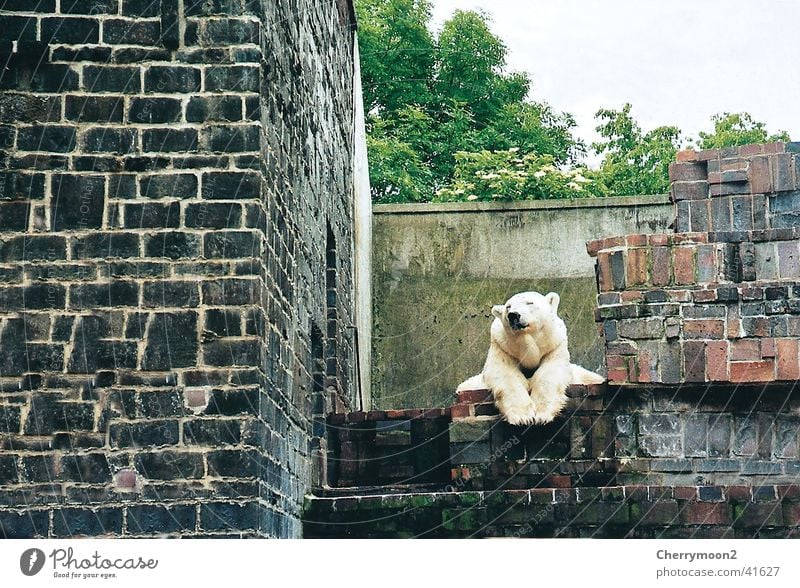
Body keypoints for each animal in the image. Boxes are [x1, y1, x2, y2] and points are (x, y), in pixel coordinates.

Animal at [460, 290, 604, 424]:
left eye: (530, 302)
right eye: (508, 307)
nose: (513, 315)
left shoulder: (554, 346)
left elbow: (550, 371)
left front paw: (541, 415)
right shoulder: (503, 347)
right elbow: (505, 373)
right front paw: (523, 417)